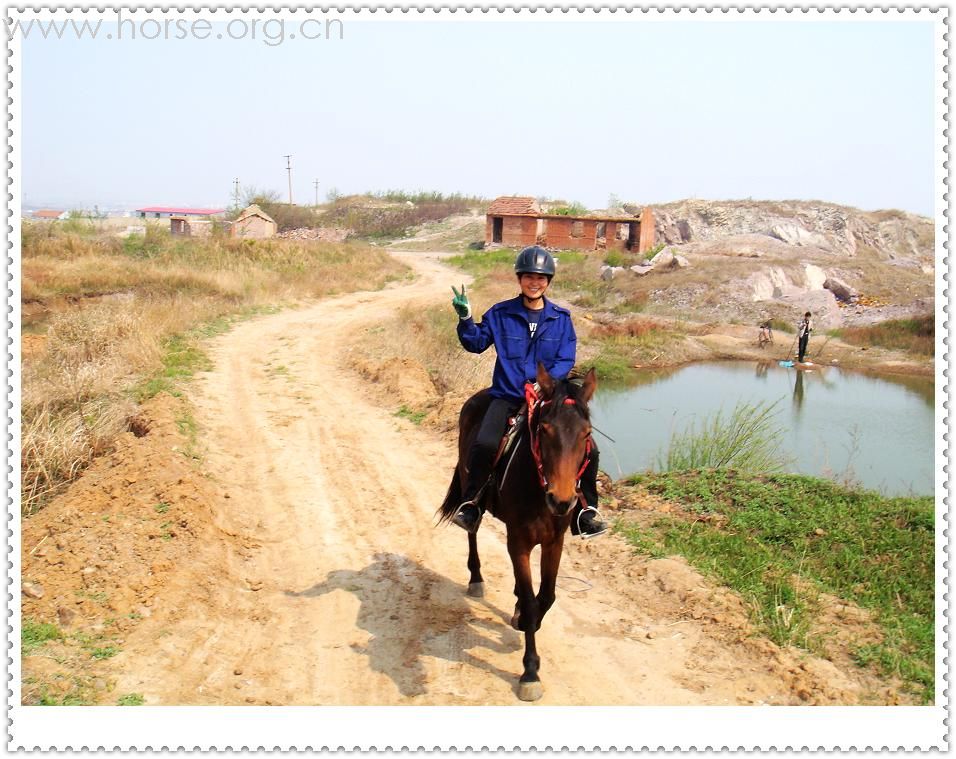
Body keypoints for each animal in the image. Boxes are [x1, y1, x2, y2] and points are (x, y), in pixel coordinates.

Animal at [440, 362, 596, 700]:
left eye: (587, 434)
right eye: (544, 430)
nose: (561, 500)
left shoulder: (554, 542)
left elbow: (546, 596)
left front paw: (525, 620)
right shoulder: (519, 541)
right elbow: (530, 600)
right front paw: (530, 672)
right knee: (472, 531)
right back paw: (476, 578)